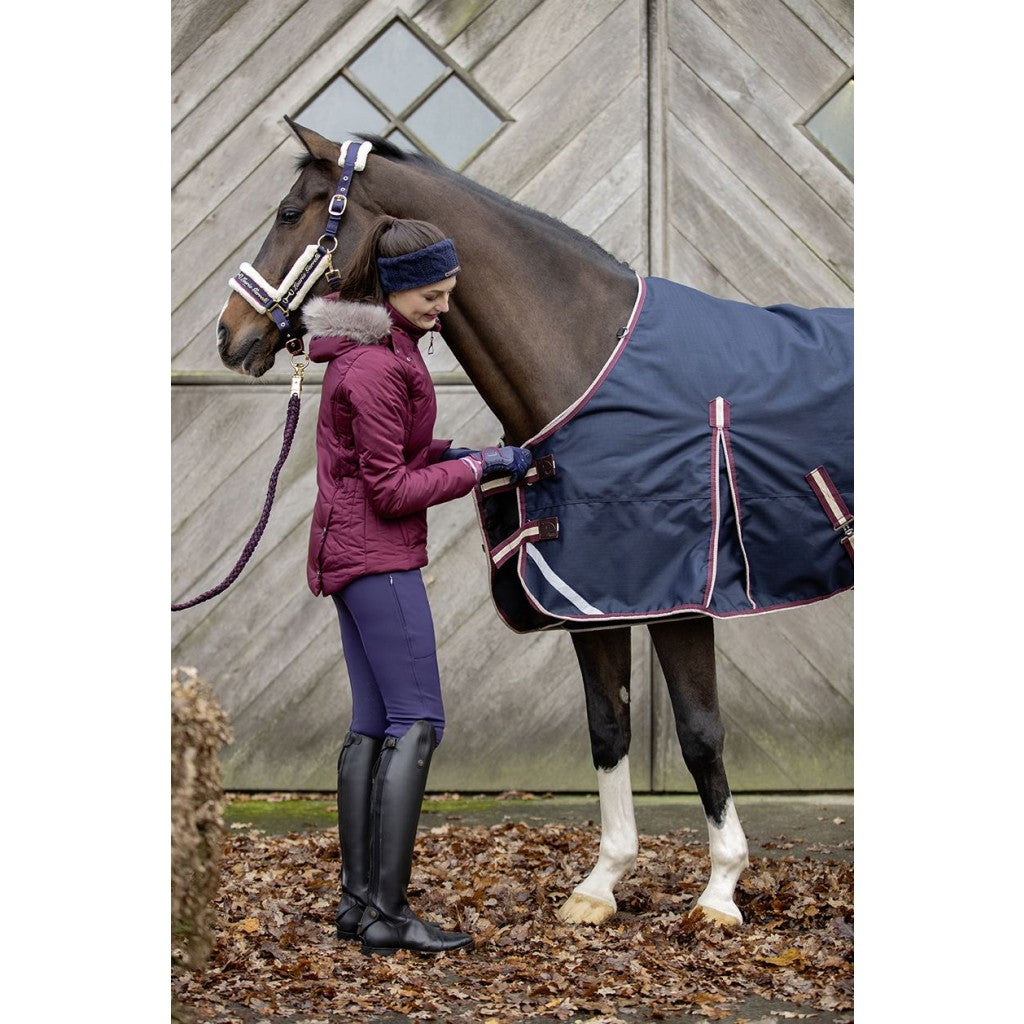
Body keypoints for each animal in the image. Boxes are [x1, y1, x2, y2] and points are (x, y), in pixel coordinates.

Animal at [216, 119, 852, 928]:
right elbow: (608, 729)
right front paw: (601, 884)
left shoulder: (678, 598)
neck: (586, 360)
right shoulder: (589, 596)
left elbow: (701, 733)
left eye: (290, 213)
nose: (228, 335)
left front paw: (718, 893)